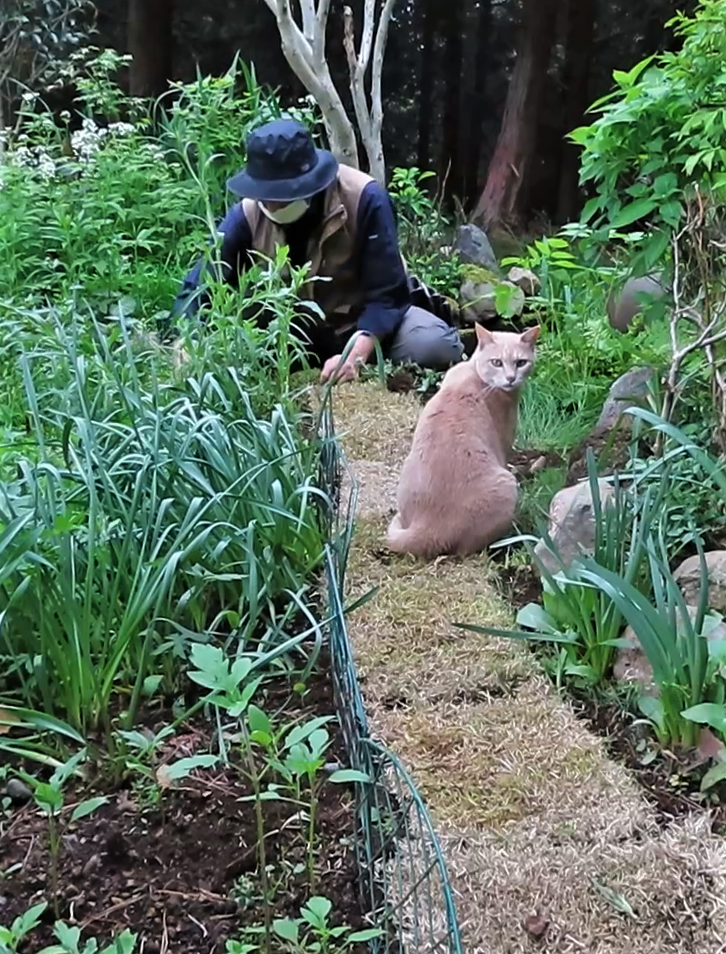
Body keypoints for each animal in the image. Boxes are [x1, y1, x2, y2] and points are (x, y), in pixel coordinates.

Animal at [386, 324, 540, 556]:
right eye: (497, 362)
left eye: (521, 362)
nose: (511, 378)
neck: (473, 371)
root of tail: (427, 526)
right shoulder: (503, 444)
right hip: (507, 485)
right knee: (467, 550)